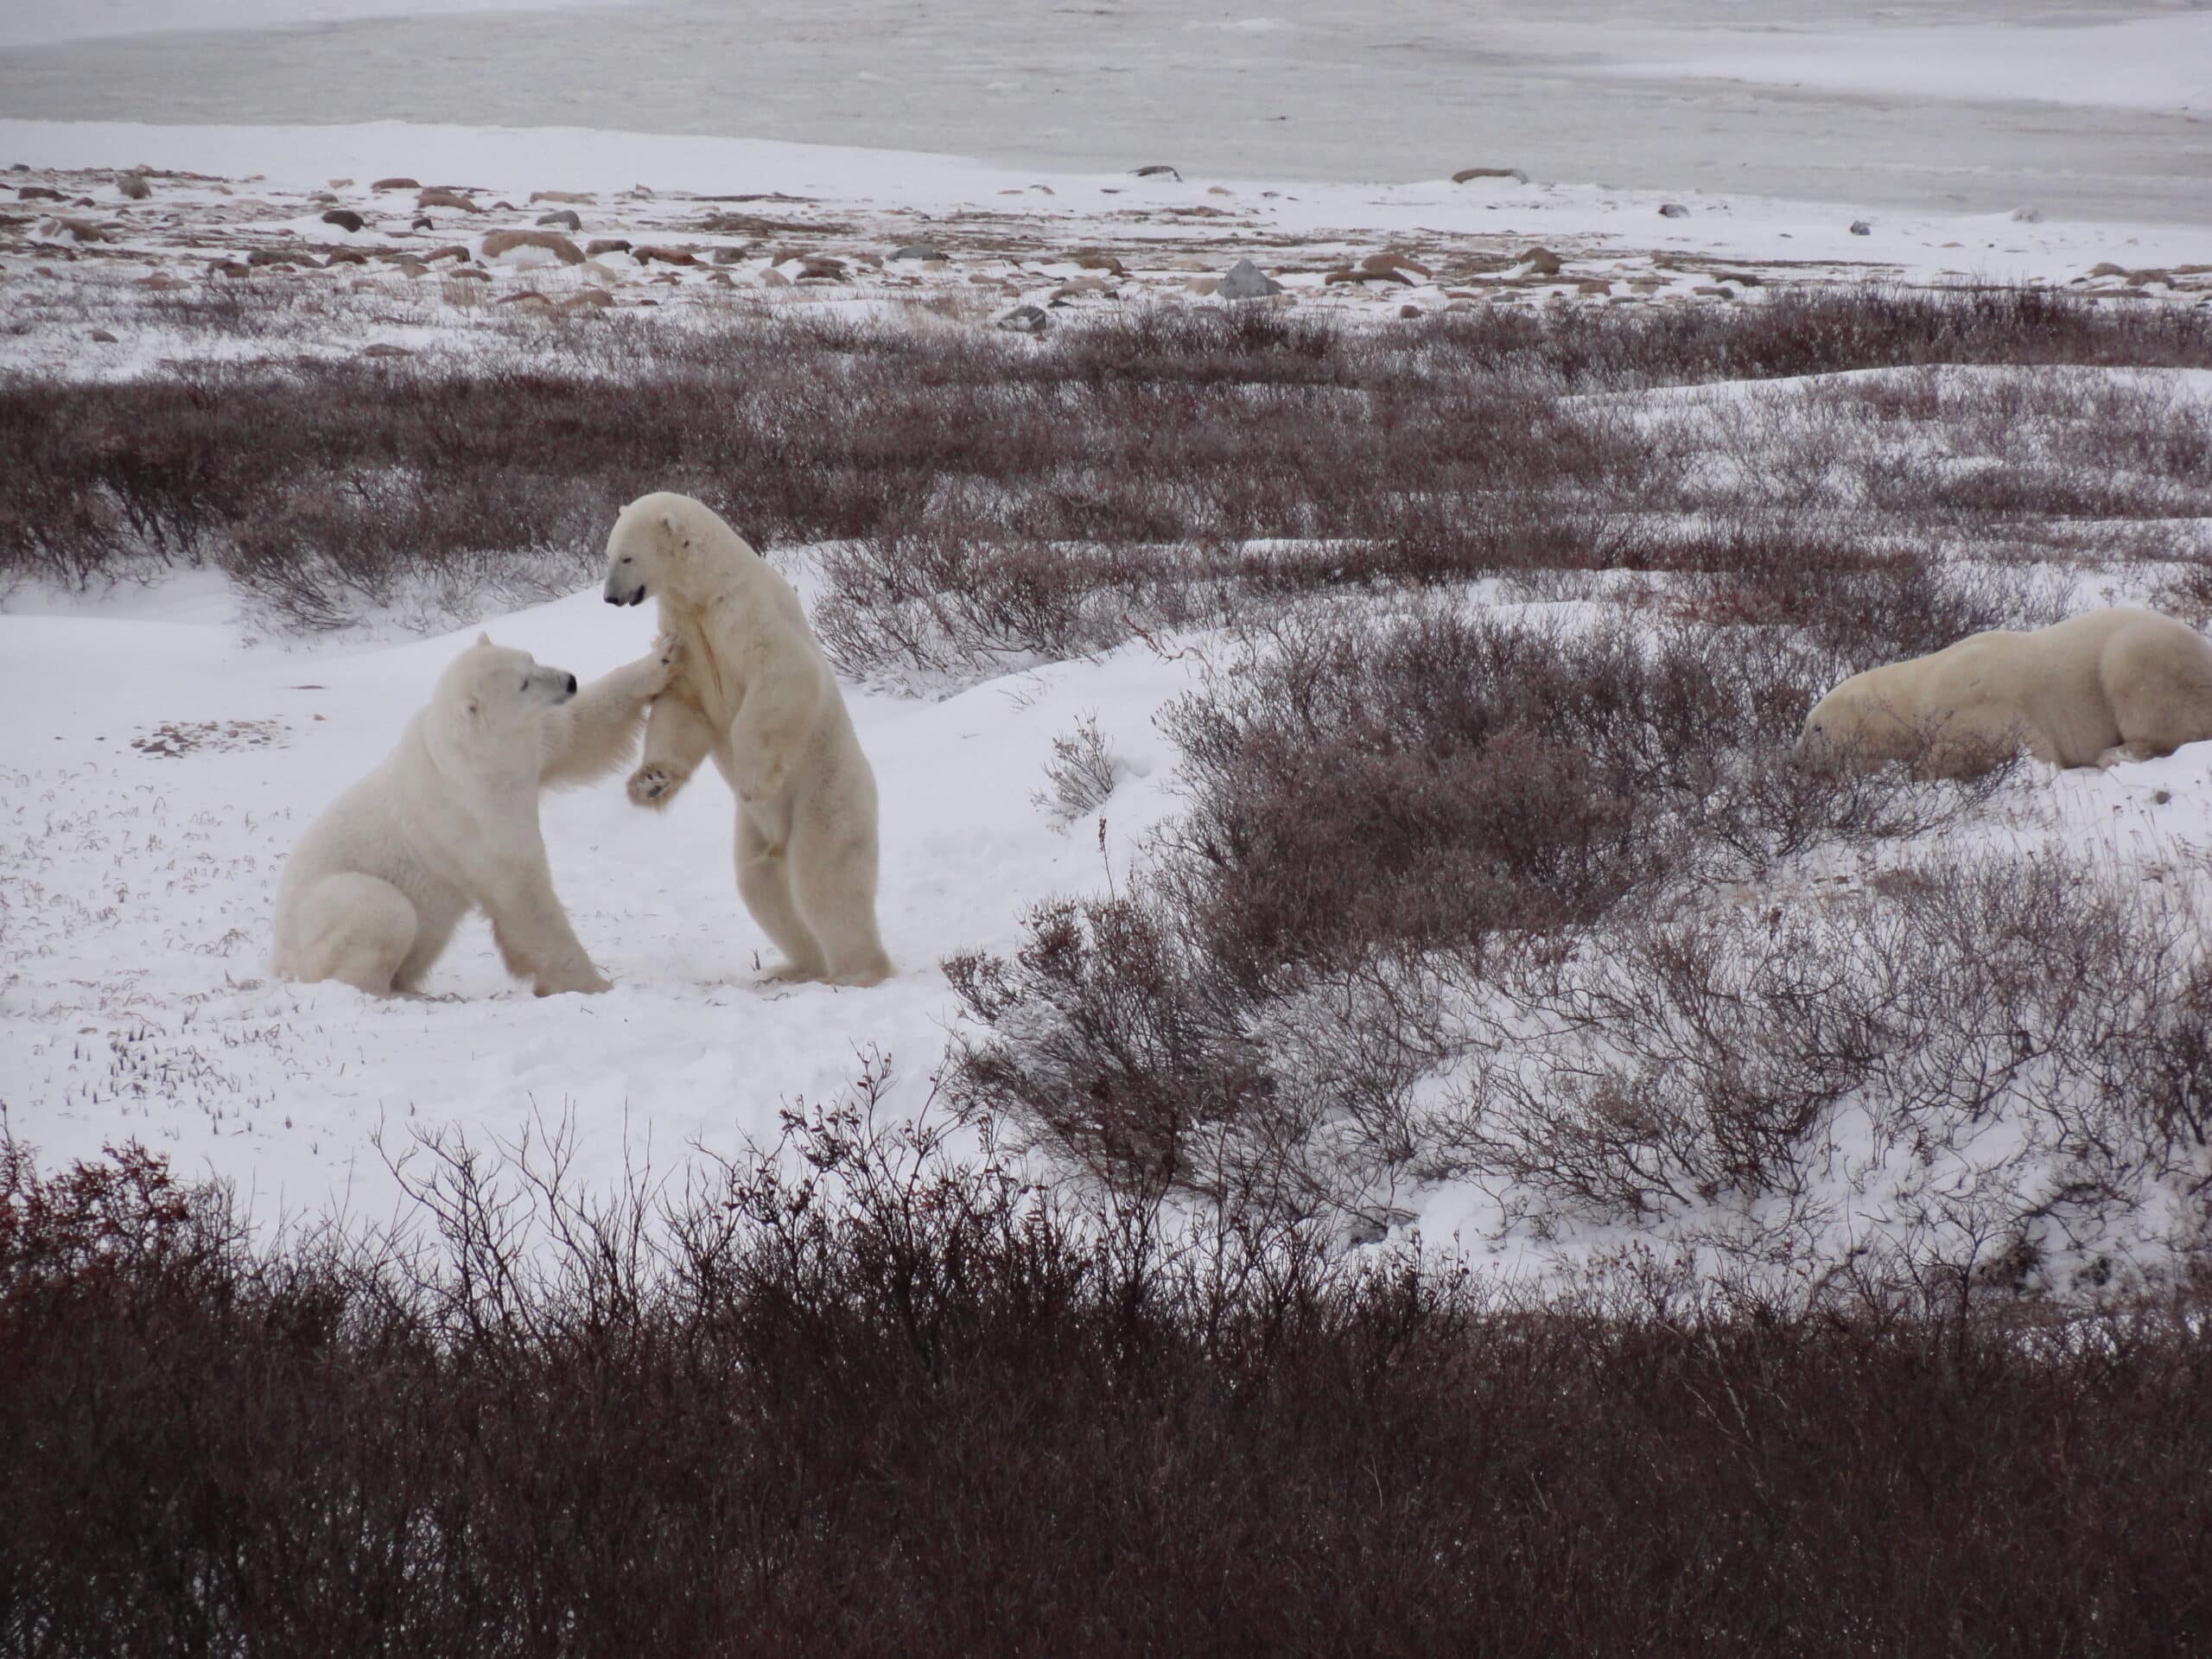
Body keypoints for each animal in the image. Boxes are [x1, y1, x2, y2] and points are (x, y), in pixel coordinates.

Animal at [271, 632, 676, 996]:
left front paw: (663, 657)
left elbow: (575, 731)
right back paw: (401, 993)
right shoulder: (474, 808)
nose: (570, 680)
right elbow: (521, 891)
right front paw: (592, 983)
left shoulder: (527, 748)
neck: (468, 754)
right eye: (523, 684)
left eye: (529, 657)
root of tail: (279, 960)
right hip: (323, 912)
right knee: (381, 911)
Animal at [601, 491, 892, 987]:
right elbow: (684, 706)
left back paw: (857, 971)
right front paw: (652, 782)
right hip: (754, 833)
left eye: (626, 556)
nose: (610, 597)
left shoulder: (747, 614)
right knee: (763, 888)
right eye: (607, 554)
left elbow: (783, 671)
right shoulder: (686, 632)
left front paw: (754, 778)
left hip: (827, 796)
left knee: (825, 878)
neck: (707, 588)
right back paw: (795, 966)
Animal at [1799, 608, 2212, 780]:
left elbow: (2021, 746)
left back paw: (2115, 754)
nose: (1794, 760)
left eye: (1816, 728)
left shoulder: (1979, 697)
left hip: (2148, 653)